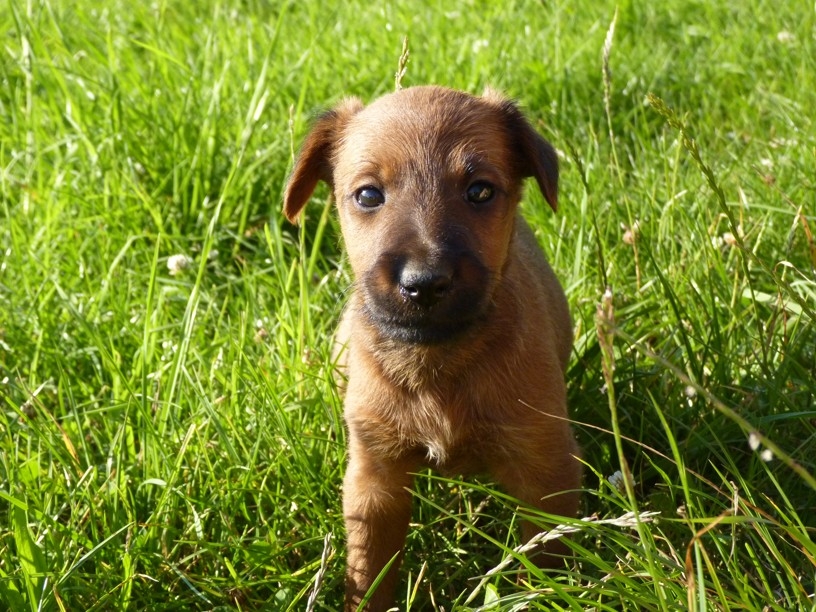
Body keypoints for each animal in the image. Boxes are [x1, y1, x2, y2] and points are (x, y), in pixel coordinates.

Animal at [283, 85, 582, 611]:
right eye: (368, 195)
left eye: (479, 191)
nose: (423, 284)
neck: (438, 362)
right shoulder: (374, 484)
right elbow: (369, 573)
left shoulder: (545, 470)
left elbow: (548, 564)